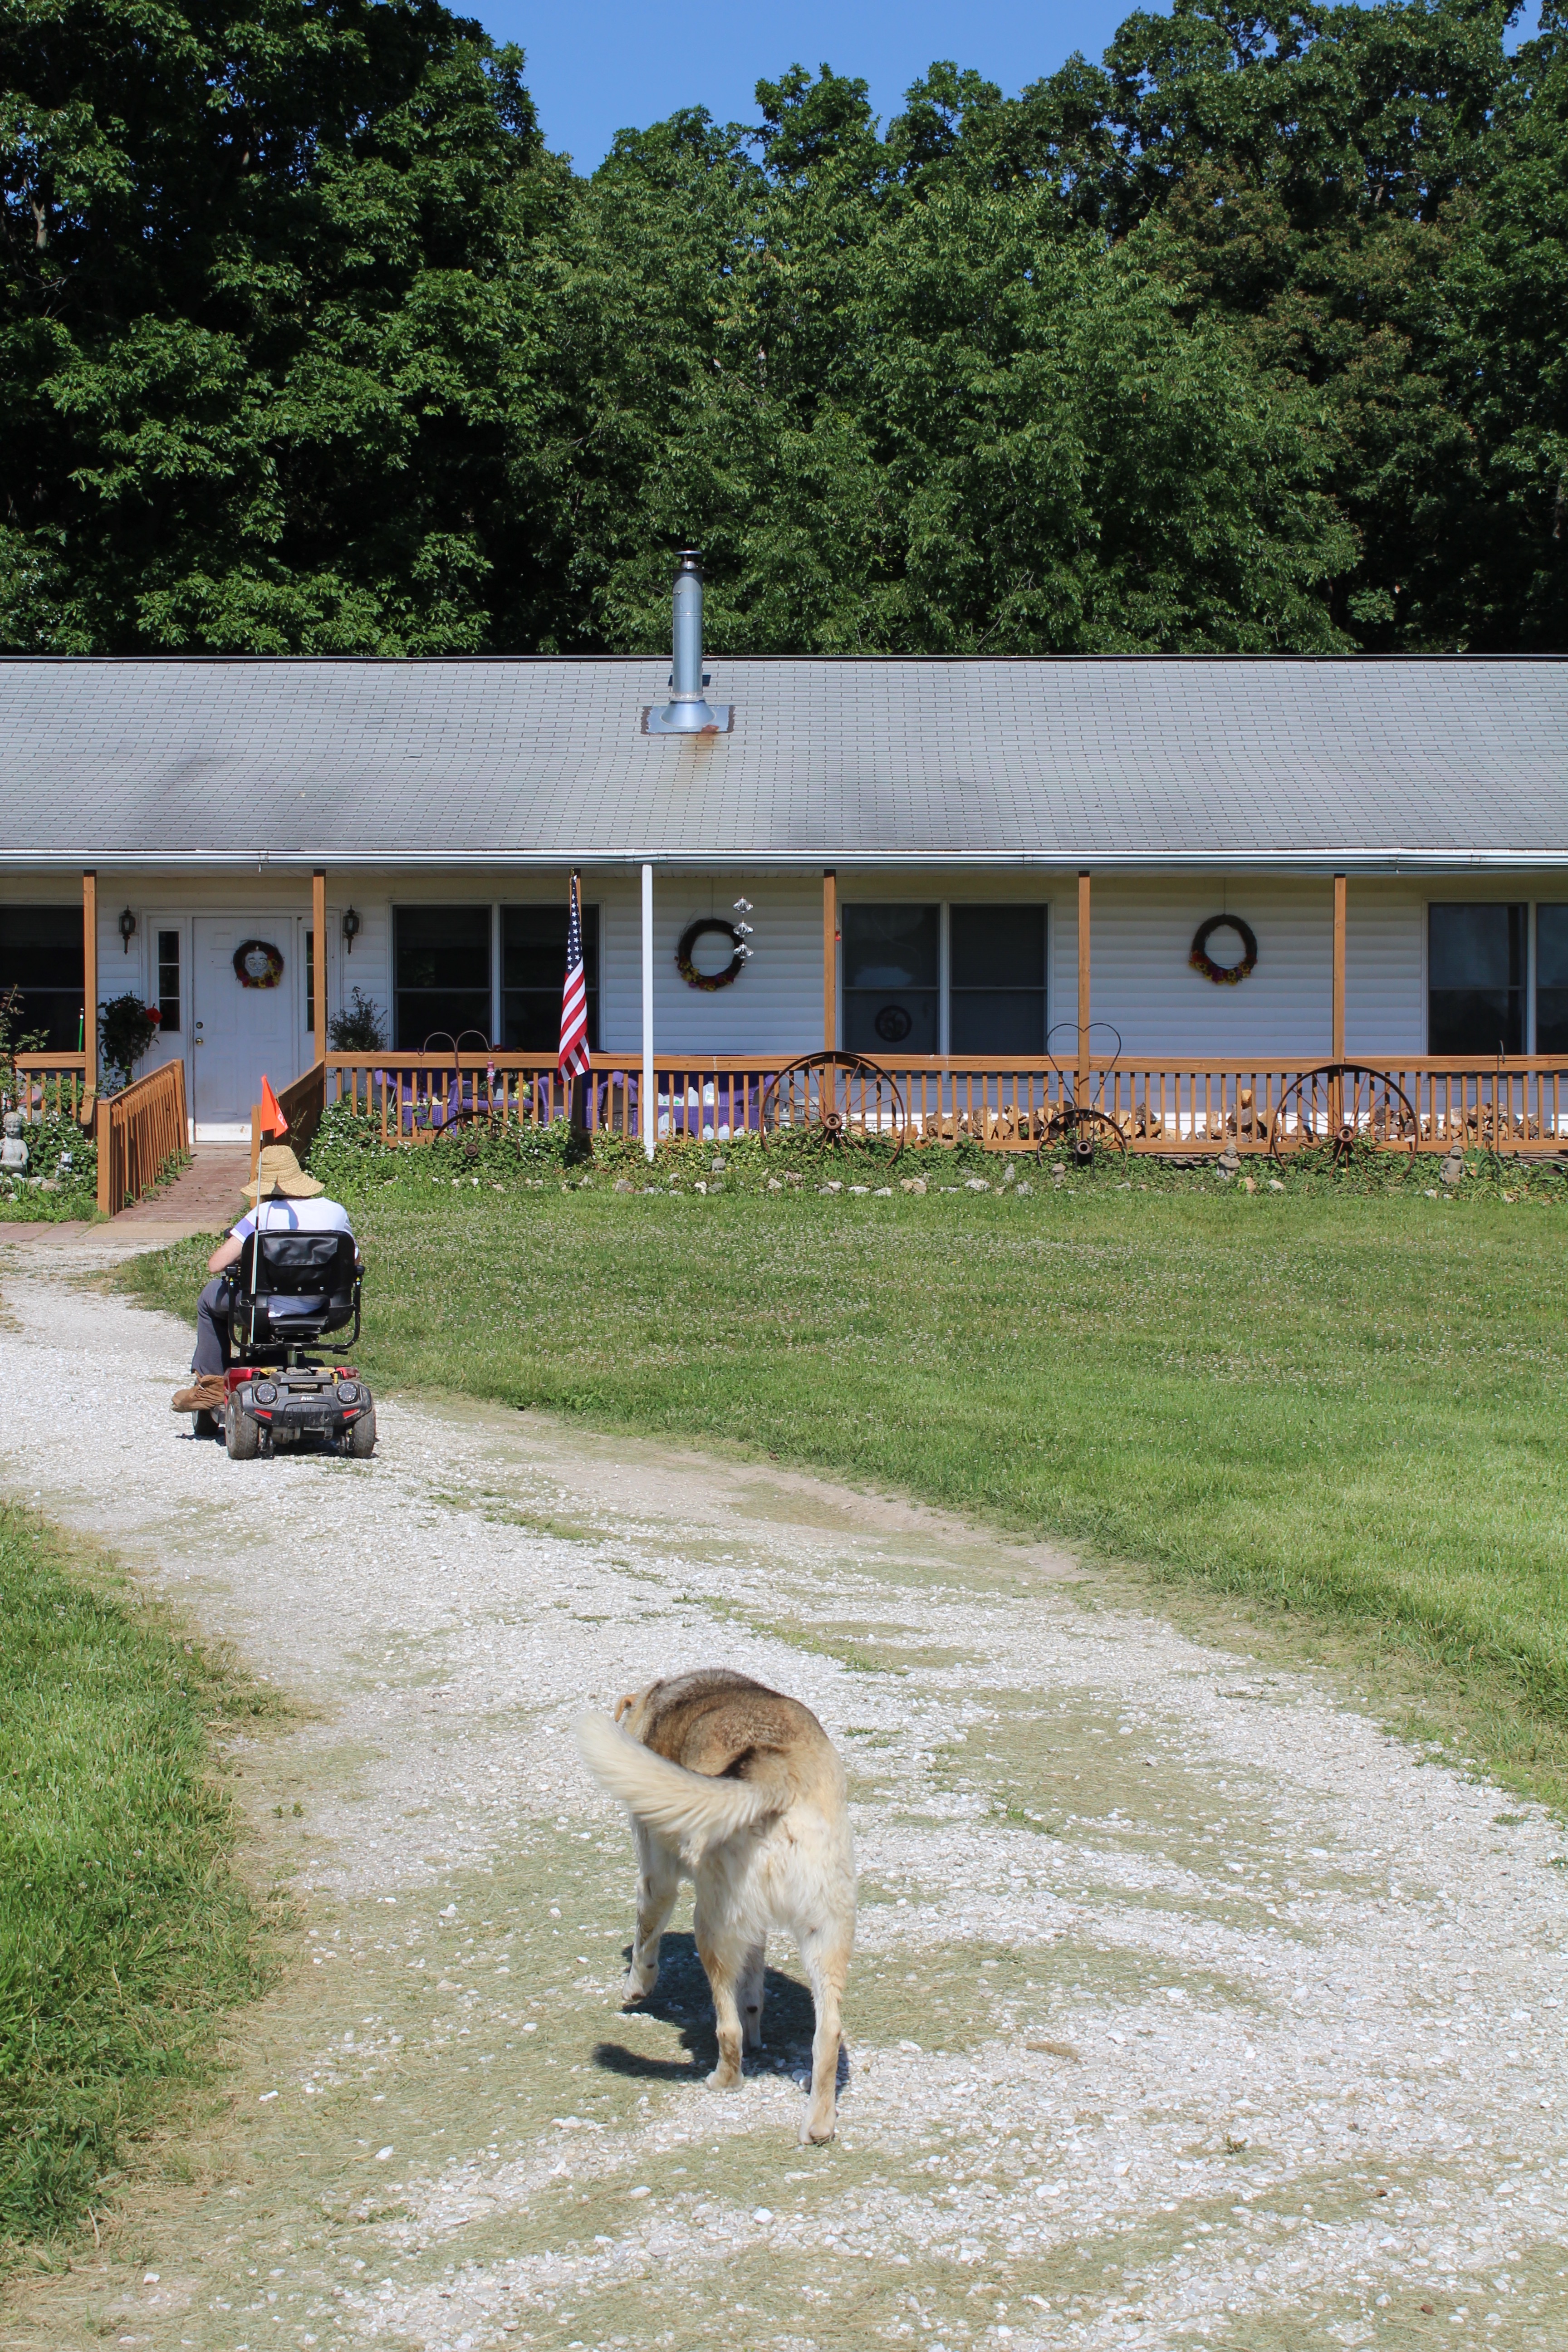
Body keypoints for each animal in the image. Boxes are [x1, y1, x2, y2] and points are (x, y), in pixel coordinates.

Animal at [573, 1665, 851, 2145]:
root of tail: (773, 1771)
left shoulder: (657, 1879)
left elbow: (646, 1937)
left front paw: (636, 1987)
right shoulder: (754, 1928)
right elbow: (754, 1989)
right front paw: (759, 2030)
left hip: (710, 1925)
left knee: (727, 2026)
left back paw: (724, 2079)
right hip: (826, 1934)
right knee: (827, 2033)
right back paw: (818, 2124)